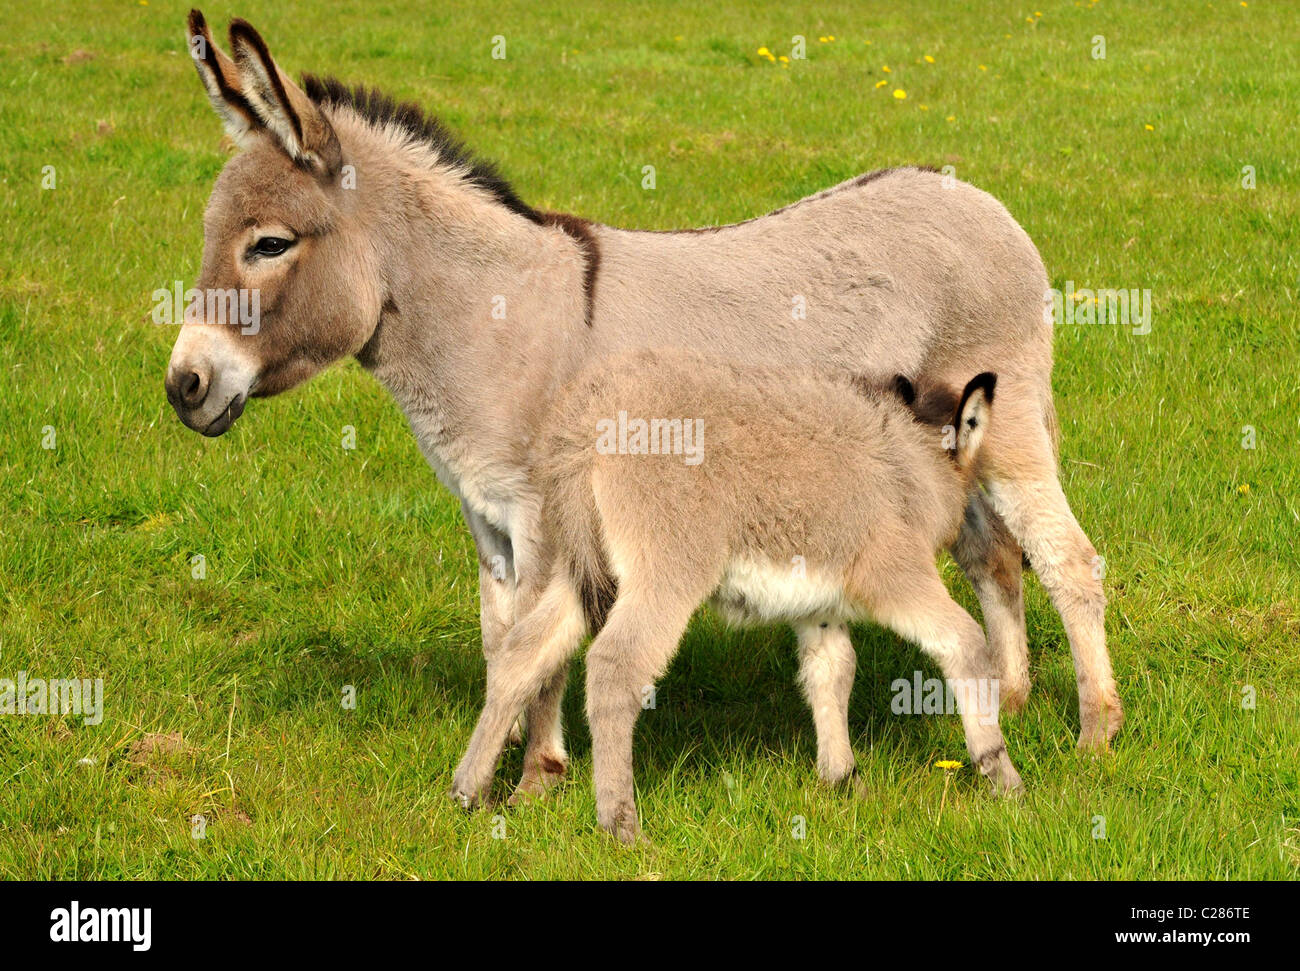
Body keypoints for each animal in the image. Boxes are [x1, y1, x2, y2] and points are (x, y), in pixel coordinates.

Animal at [454, 353, 1024, 847]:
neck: (906, 466)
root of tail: (585, 420)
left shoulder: (819, 607)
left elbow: (831, 673)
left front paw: (843, 782)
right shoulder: (892, 573)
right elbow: (966, 643)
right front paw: (1001, 774)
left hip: (579, 569)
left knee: (523, 655)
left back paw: (469, 791)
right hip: (667, 572)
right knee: (615, 667)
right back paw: (621, 826)